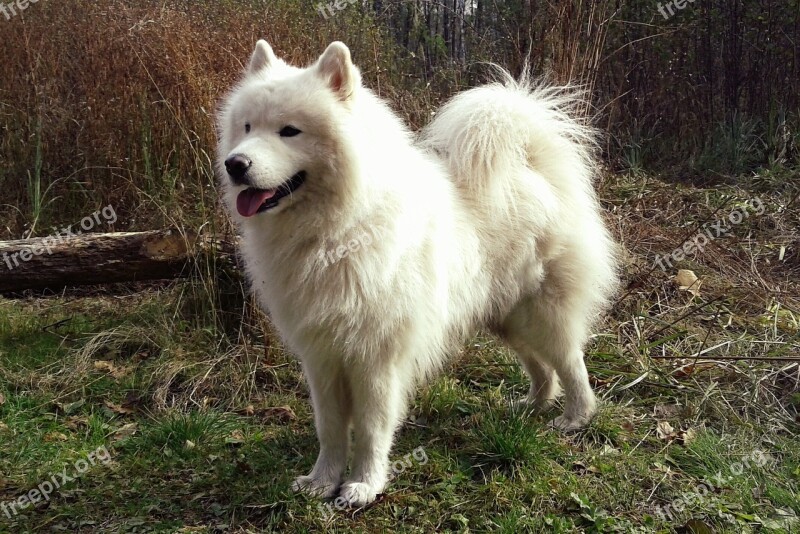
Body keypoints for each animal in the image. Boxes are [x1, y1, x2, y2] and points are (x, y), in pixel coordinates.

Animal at [216, 39, 616, 508]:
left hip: (543, 315)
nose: (235, 164)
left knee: (572, 364)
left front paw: (363, 485)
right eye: (246, 127)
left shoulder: (375, 358)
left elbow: (371, 429)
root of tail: (534, 169)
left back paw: (575, 419)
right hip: (506, 318)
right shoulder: (322, 357)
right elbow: (330, 429)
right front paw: (321, 481)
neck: (338, 229)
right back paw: (531, 406)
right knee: (543, 369)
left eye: (289, 131)